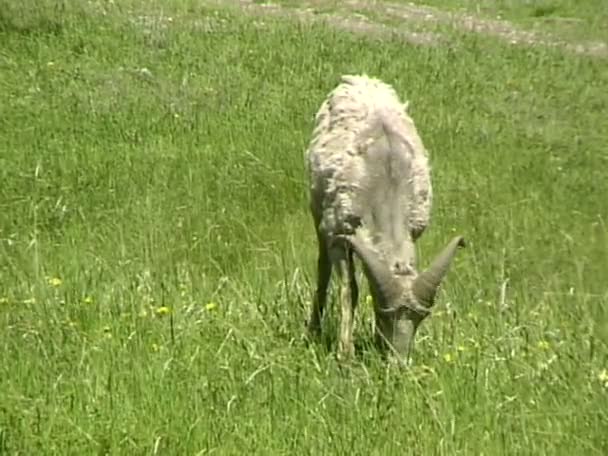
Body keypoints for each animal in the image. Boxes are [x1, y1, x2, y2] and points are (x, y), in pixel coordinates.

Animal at [306, 75, 464, 362]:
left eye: (420, 318)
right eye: (384, 314)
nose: (398, 363)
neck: (385, 186)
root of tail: (359, 79)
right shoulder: (339, 238)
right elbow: (350, 291)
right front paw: (345, 354)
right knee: (322, 269)